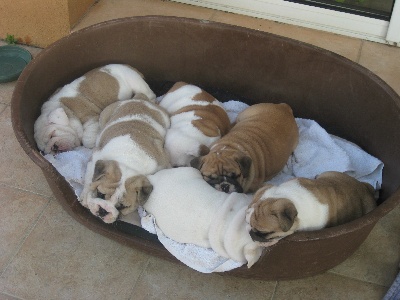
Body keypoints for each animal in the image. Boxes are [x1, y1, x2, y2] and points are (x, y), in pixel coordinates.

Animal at [79, 94, 170, 223]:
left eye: (122, 207)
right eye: (100, 194)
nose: (103, 210)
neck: (129, 161)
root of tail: (141, 99)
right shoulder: (95, 157)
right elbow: (89, 178)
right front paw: (85, 194)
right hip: (105, 115)